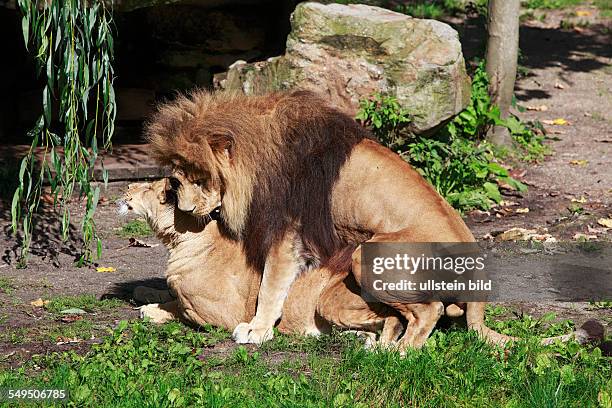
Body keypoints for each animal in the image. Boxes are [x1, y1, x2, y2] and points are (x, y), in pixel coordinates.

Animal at [119, 180, 406, 342]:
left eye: (147, 188)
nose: (126, 188)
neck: (181, 240)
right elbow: (166, 292)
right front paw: (145, 292)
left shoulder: (223, 314)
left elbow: (178, 307)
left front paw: (151, 309)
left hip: (330, 301)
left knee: (394, 320)